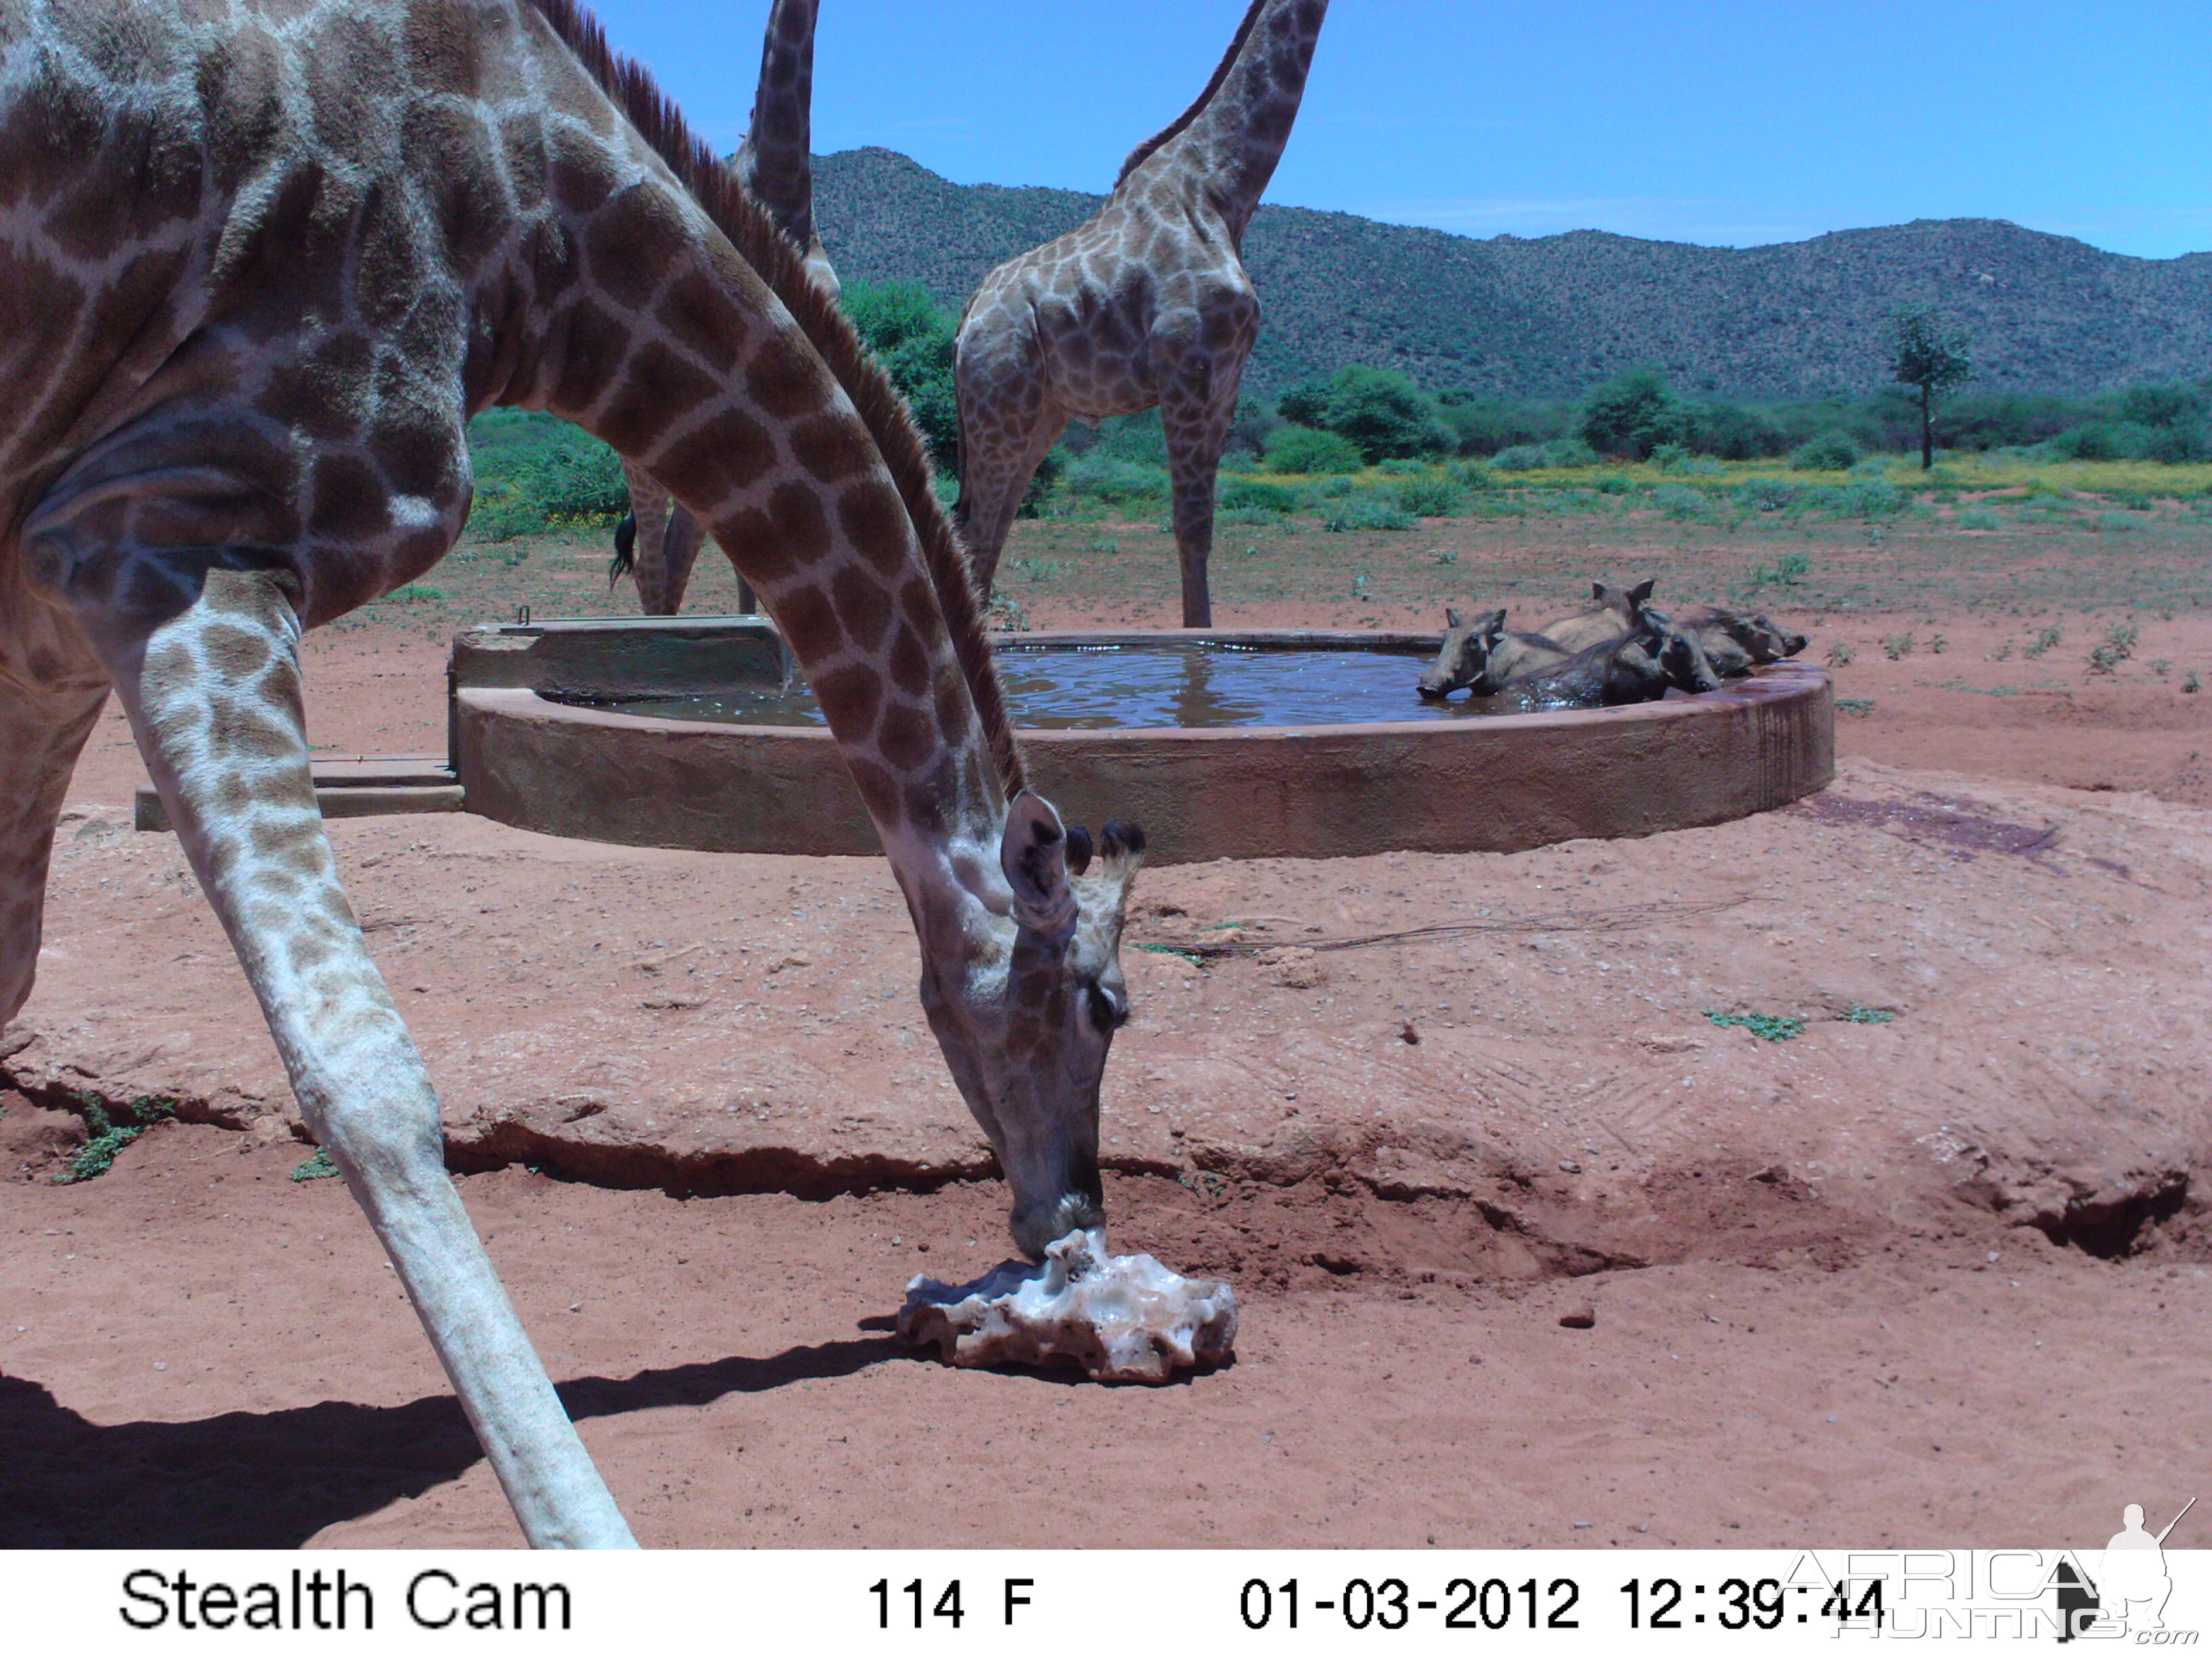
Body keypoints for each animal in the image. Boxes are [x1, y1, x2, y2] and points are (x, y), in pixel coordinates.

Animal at [956, 0, 1327, 628]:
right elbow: (1189, 526)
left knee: (992, 523)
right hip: (999, 402)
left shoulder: (1226, 383)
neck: (1223, 189)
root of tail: (964, 328)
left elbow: (1205, 526)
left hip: (1039, 413)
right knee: (979, 526)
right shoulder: (1186, 368)